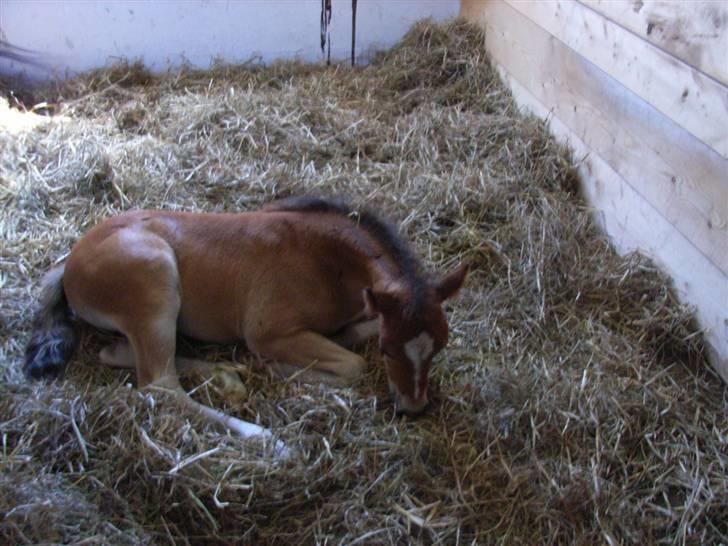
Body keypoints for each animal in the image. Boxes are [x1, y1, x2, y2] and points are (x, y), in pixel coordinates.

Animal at [24, 196, 468, 455]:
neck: (324, 260)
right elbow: (352, 365)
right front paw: (278, 368)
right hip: (155, 282)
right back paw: (263, 435)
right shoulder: (269, 331)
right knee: (159, 383)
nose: (413, 408)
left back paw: (228, 376)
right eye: (389, 351)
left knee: (117, 353)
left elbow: (359, 331)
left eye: (440, 346)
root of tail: (70, 261)